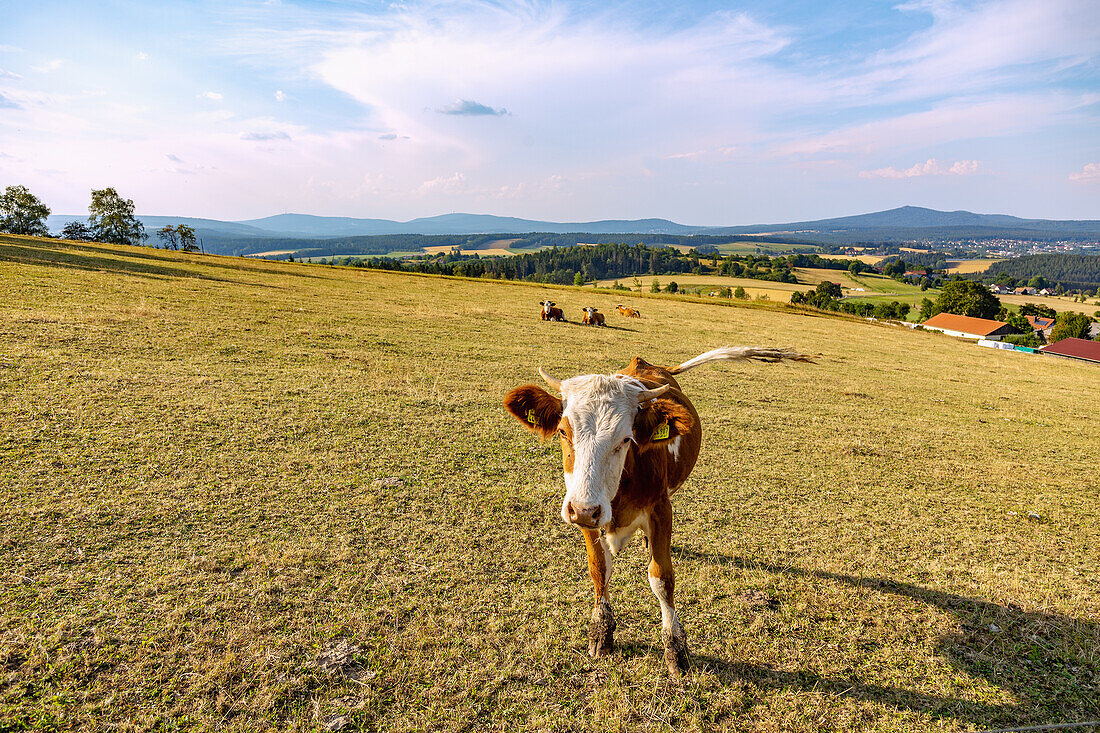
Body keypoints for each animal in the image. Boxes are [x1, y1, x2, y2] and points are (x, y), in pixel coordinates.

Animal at [503, 347, 809, 673]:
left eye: (626, 438)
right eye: (562, 432)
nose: (583, 510)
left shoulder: (660, 510)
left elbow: (662, 578)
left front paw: (675, 648)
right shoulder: (588, 511)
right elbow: (599, 569)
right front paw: (600, 631)